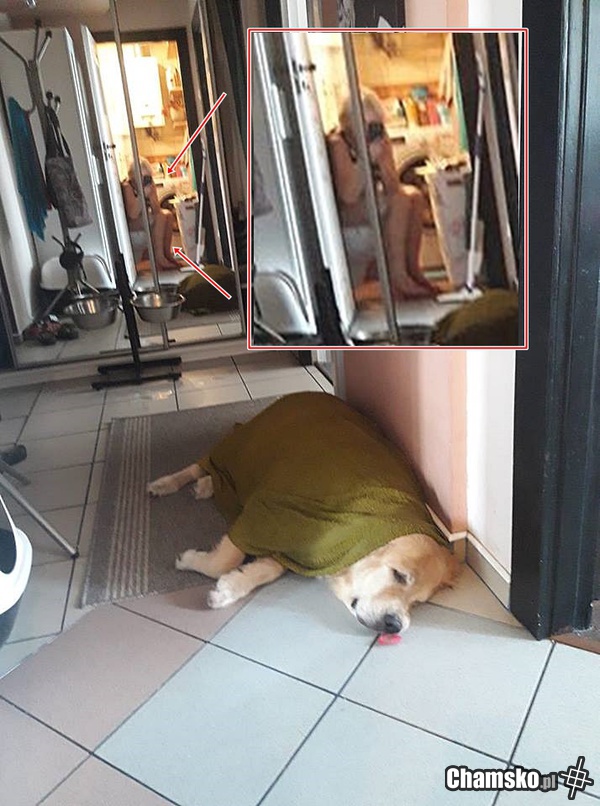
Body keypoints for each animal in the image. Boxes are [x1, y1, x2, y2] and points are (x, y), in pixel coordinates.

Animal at [147, 393, 459, 635]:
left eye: (419, 601)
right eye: (399, 575)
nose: (396, 625)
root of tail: (304, 393)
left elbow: (270, 568)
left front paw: (230, 587)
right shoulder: (265, 514)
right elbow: (225, 560)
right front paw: (190, 560)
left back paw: (207, 485)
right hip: (237, 443)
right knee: (200, 464)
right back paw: (167, 483)